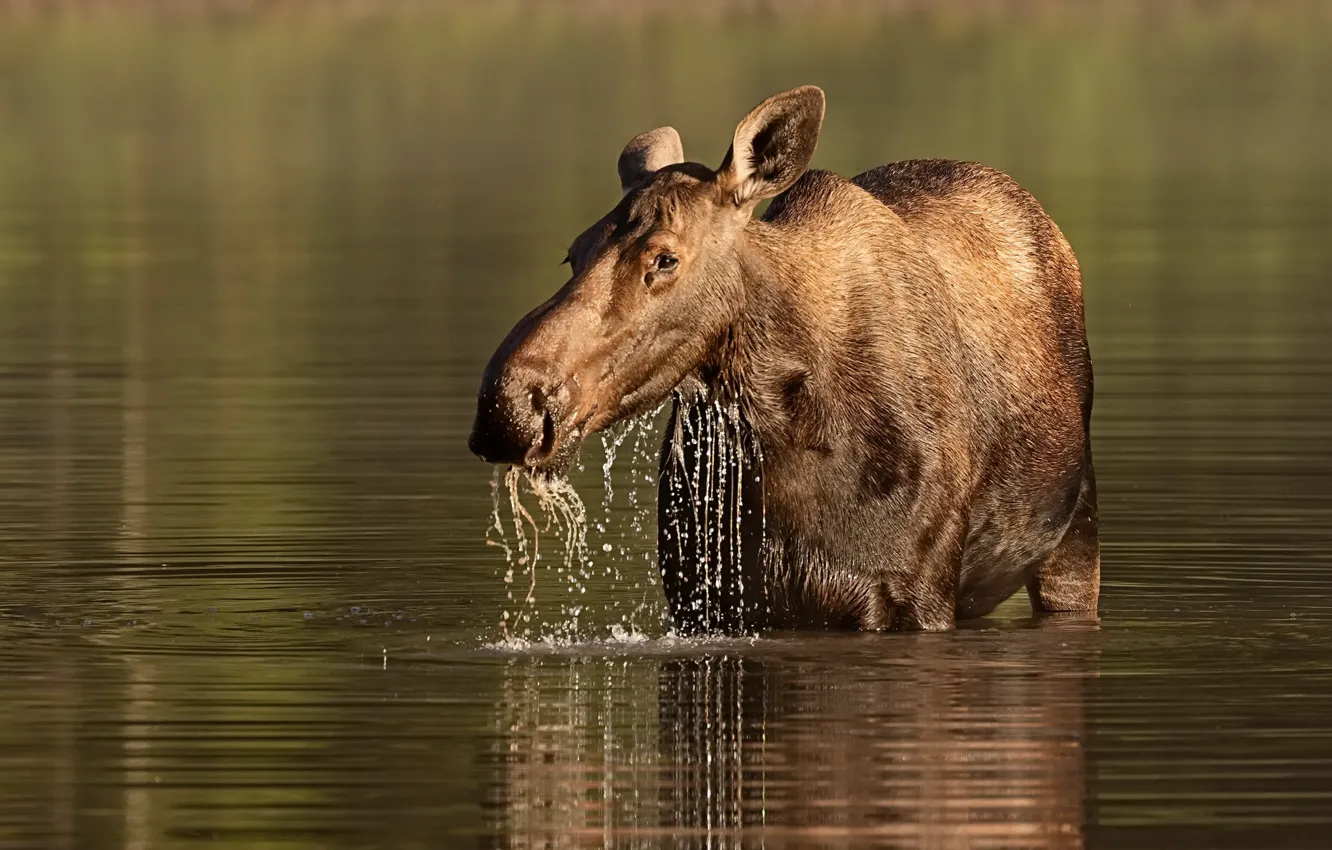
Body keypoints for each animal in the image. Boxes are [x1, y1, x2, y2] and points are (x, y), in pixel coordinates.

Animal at [466, 87, 1092, 634]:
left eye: (665, 258)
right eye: (573, 252)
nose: (509, 407)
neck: (787, 433)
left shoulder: (917, 593)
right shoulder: (709, 597)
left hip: (1075, 531)